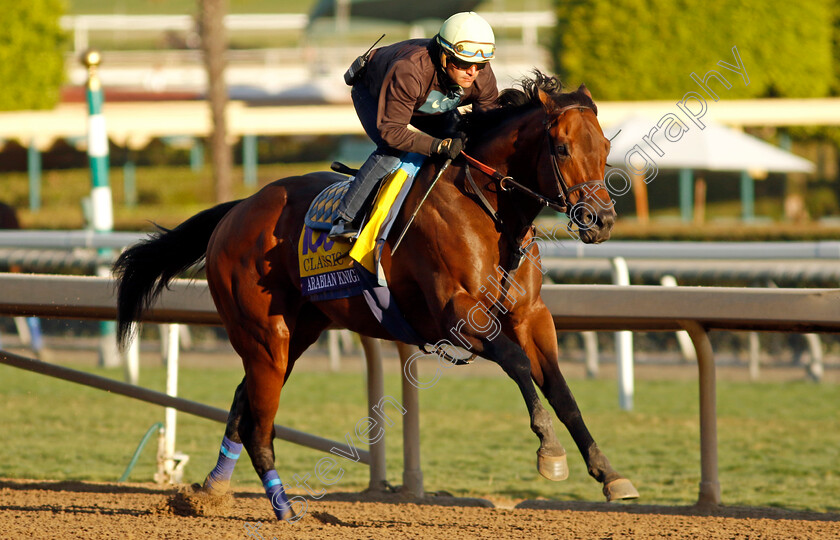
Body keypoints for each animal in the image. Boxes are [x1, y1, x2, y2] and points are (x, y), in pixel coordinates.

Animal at [111, 71, 636, 520]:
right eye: (562, 148)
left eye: (606, 146)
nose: (602, 220)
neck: (488, 213)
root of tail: (237, 209)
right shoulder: (456, 316)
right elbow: (519, 364)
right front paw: (550, 451)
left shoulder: (531, 315)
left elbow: (562, 391)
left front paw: (610, 474)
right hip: (263, 335)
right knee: (259, 421)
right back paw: (283, 509)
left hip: (297, 332)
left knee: (245, 402)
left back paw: (211, 491)